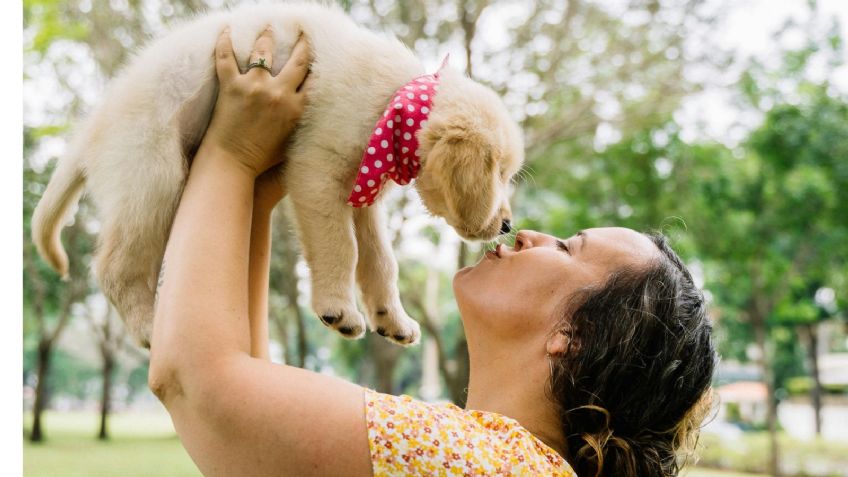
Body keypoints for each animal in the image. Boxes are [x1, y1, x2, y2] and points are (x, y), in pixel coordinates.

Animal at [31, 1, 524, 348]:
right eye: (498, 173)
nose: (506, 225)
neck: (392, 100)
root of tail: (93, 124)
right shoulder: (316, 169)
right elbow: (341, 248)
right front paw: (337, 308)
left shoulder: (361, 188)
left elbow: (381, 261)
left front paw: (392, 319)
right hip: (152, 176)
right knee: (116, 268)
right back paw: (150, 327)